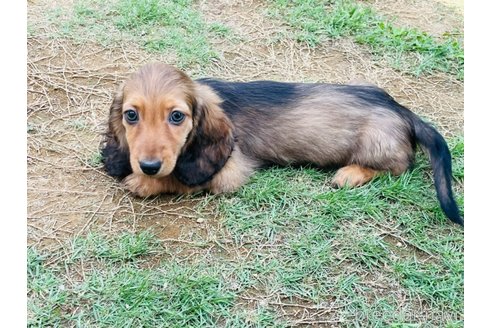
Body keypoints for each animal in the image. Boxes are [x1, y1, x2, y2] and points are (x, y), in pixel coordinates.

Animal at [102, 62, 464, 226]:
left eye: (177, 116)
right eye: (131, 115)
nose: (149, 165)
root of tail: (400, 109)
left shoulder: (228, 171)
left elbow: (179, 177)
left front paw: (144, 181)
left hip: (376, 145)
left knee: (402, 164)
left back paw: (351, 174)